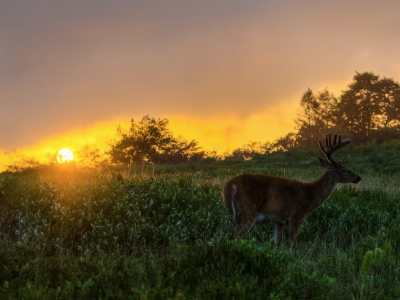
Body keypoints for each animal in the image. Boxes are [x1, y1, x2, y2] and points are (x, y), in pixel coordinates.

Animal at [222, 134, 362, 253]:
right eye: (343, 170)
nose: (358, 177)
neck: (310, 195)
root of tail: (229, 185)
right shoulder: (295, 217)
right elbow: (294, 246)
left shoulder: (279, 220)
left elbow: (277, 244)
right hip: (249, 211)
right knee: (236, 237)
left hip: (239, 215)